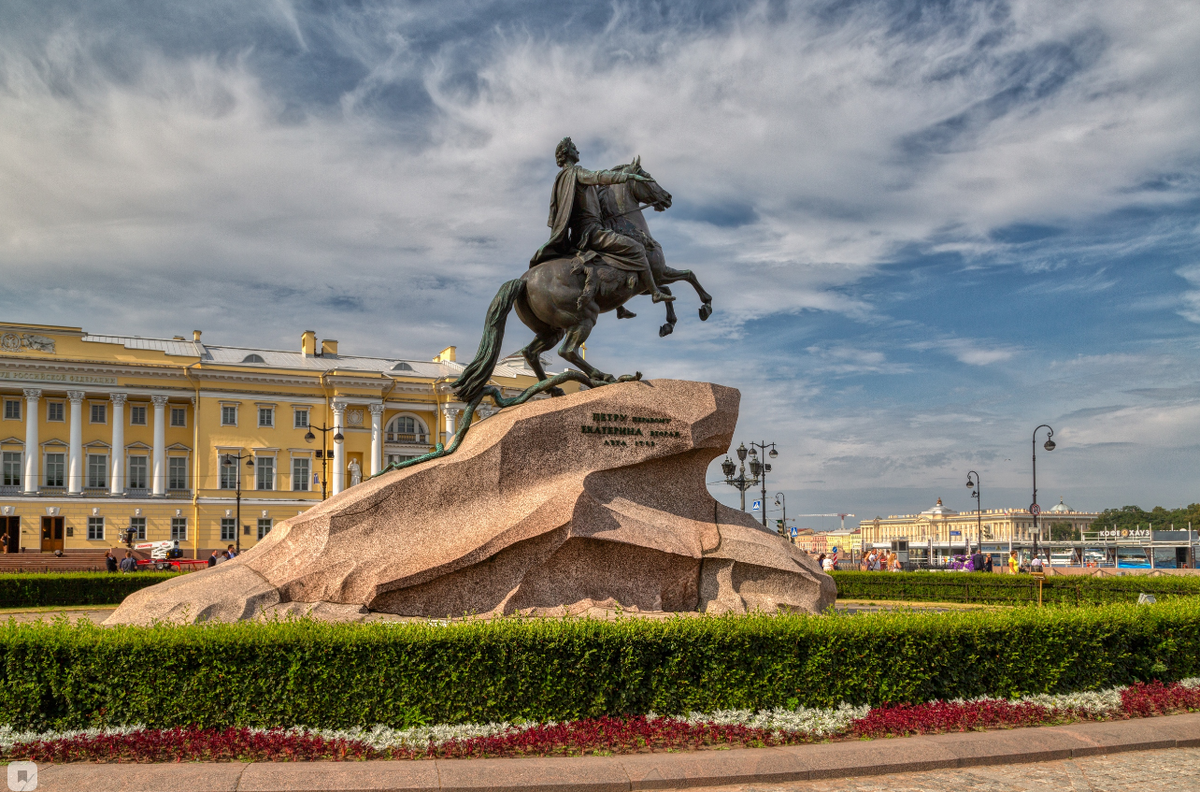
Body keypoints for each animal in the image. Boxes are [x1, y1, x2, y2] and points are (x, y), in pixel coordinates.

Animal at [451, 156, 710, 403]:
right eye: (648, 178)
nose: (668, 197)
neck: (629, 230)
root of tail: (523, 281)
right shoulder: (656, 270)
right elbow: (687, 276)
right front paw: (704, 307)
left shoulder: (644, 285)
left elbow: (670, 290)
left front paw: (668, 324)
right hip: (584, 317)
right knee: (567, 352)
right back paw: (602, 376)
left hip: (551, 329)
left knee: (531, 353)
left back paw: (554, 390)